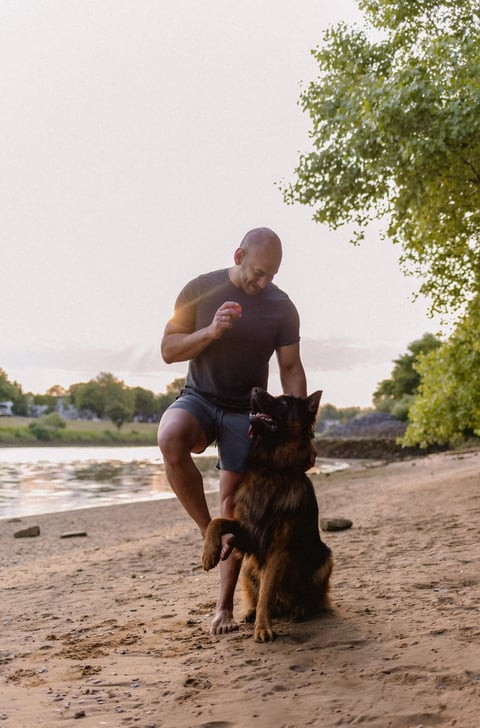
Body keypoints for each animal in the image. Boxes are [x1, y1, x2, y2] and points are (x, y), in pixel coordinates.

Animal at [201, 390, 332, 640]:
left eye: (283, 402)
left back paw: (299, 609)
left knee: (312, 599)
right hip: (247, 568)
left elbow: (266, 593)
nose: (253, 389)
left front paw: (262, 627)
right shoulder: (248, 532)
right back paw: (250, 612)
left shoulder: (277, 550)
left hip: (324, 561)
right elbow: (217, 521)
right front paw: (209, 553)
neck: (271, 468)